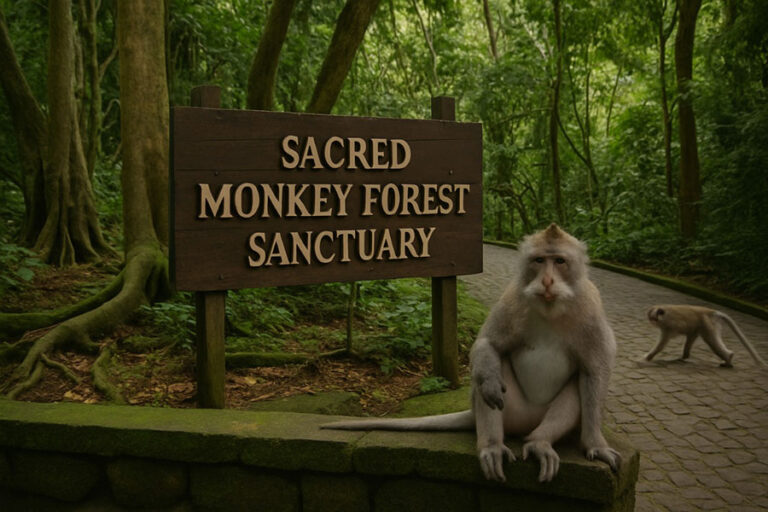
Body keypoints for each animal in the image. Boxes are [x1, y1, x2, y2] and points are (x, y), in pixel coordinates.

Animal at [323, 224, 621, 483]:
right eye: (539, 260)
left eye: (559, 261)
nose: (547, 281)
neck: (550, 308)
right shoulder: (513, 297)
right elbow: (487, 345)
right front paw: (489, 382)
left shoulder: (591, 308)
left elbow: (595, 371)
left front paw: (595, 444)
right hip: (511, 411)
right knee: (492, 370)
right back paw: (492, 445)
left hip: (538, 419)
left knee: (576, 386)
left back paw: (539, 443)